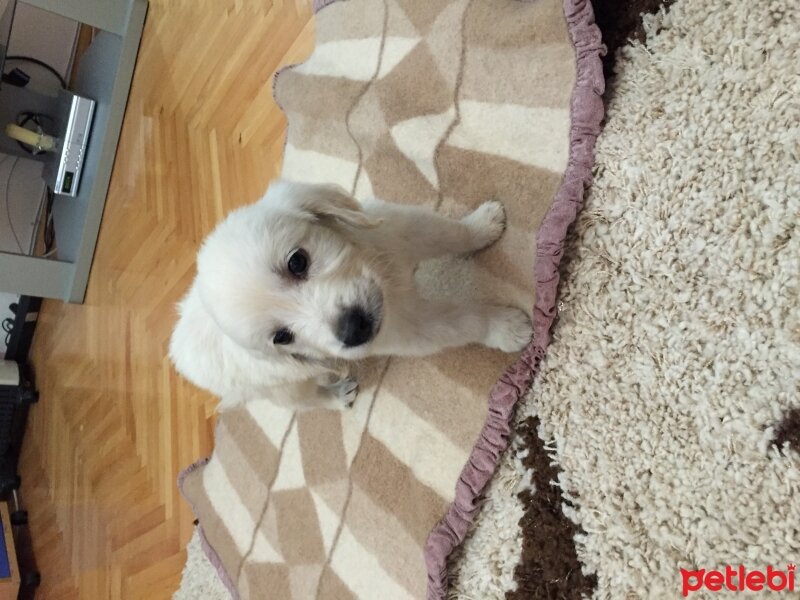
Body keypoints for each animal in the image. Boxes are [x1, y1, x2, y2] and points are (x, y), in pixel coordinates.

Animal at [169, 180, 532, 410]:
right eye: (282, 337)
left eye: (297, 262)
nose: (353, 330)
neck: (383, 276)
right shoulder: (408, 329)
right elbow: (465, 321)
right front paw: (506, 328)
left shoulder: (402, 230)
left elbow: (449, 233)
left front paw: (483, 225)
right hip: (285, 387)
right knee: (306, 403)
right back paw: (337, 396)